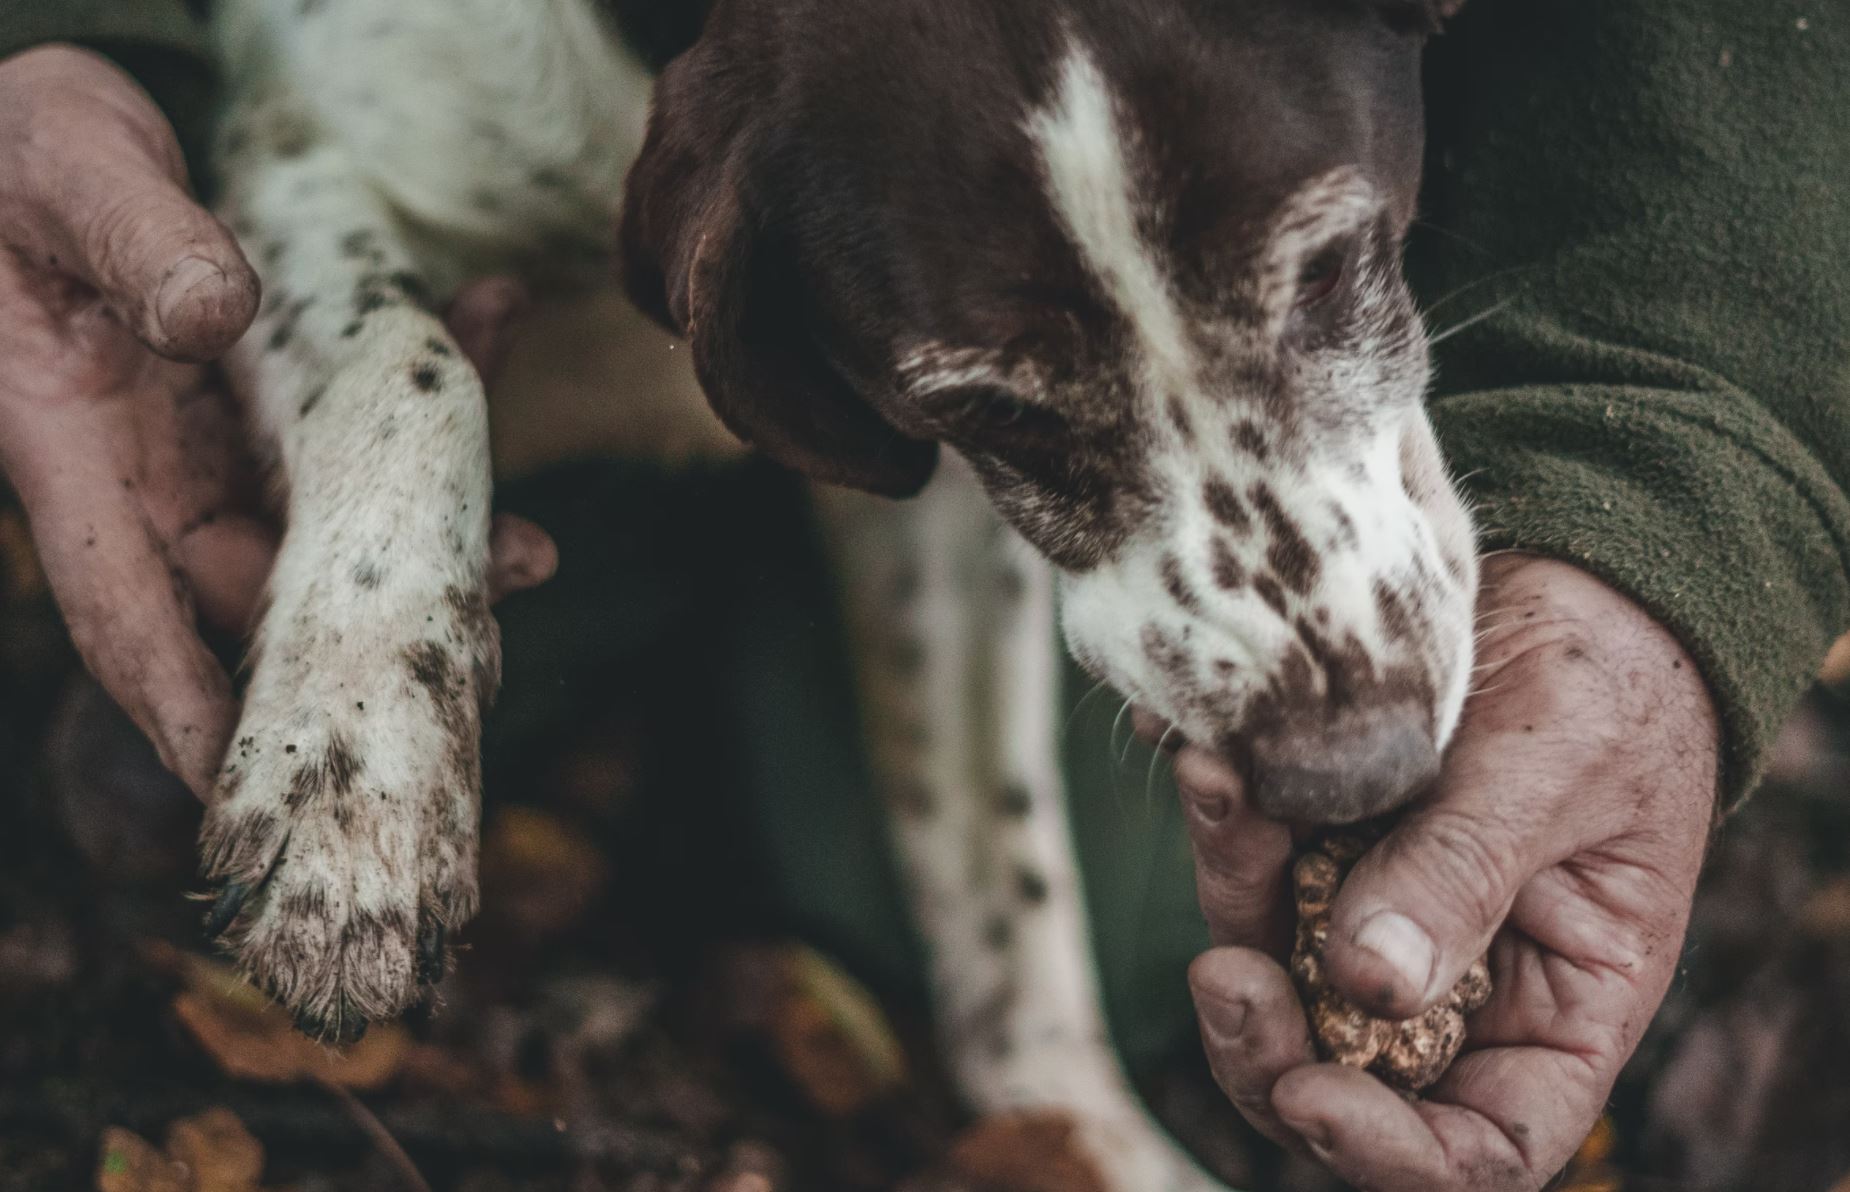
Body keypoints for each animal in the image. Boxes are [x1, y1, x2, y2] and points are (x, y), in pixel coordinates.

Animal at [200, 0, 1474, 1186]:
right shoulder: (297, 157)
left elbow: (997, 860)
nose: (1354, 770)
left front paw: (1076, 1132)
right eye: (993, 407)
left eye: (1329, 264)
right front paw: (355, 764)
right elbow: (407, 364)